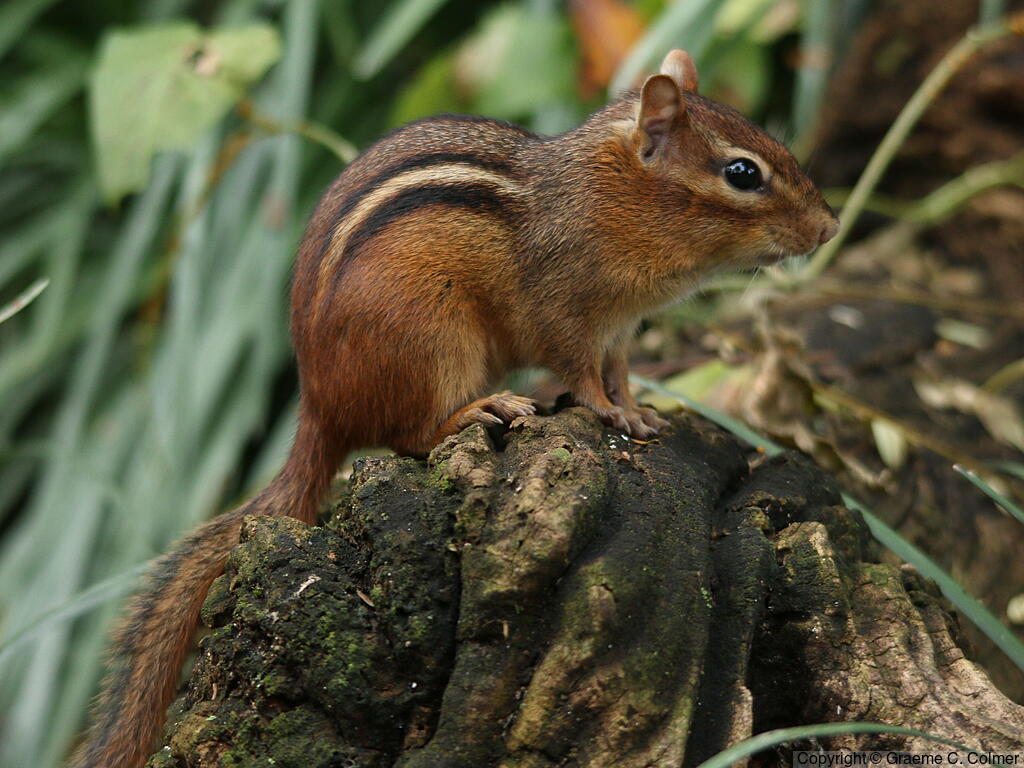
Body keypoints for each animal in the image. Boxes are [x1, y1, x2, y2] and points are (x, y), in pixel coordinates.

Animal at [74, 49, 837, 768]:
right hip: (434, 341)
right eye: (742, 173)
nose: (830, 228)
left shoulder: (620, 330)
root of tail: (318, 408)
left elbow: (620, 374)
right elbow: (583, 376)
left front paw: (644, 415)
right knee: (410, 436)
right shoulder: (567, 317)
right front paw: (609, 415)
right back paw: (479, 411)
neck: (612, 195)